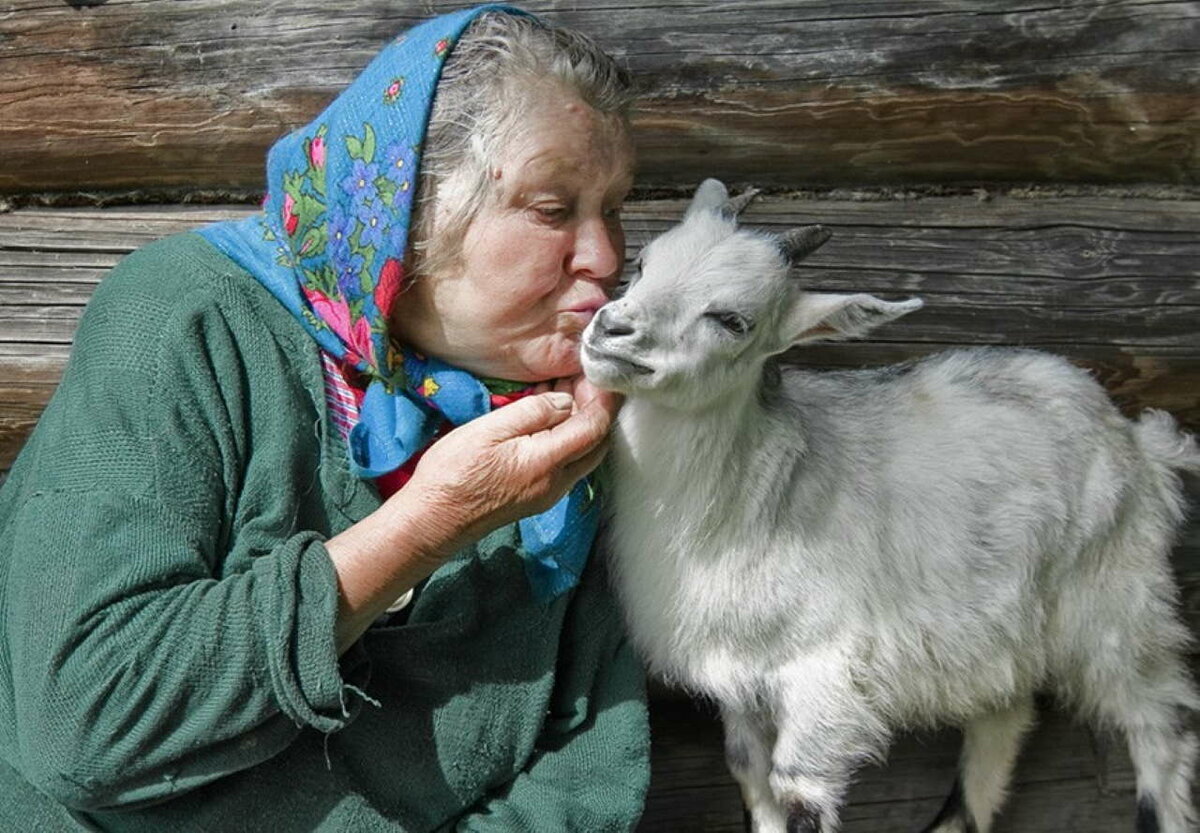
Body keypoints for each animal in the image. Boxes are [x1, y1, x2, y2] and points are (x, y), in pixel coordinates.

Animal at [580, 181, 1200, 833]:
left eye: (733, 320)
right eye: (644, 264)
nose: (611, 329)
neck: (760, 493)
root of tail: (1138, 439)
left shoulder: (826, 677)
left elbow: (798, 794)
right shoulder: (738, 680)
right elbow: (749, 773)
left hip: (1115, 603)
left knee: (1161, 724)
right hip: (1000, 625)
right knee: (1004, 718)